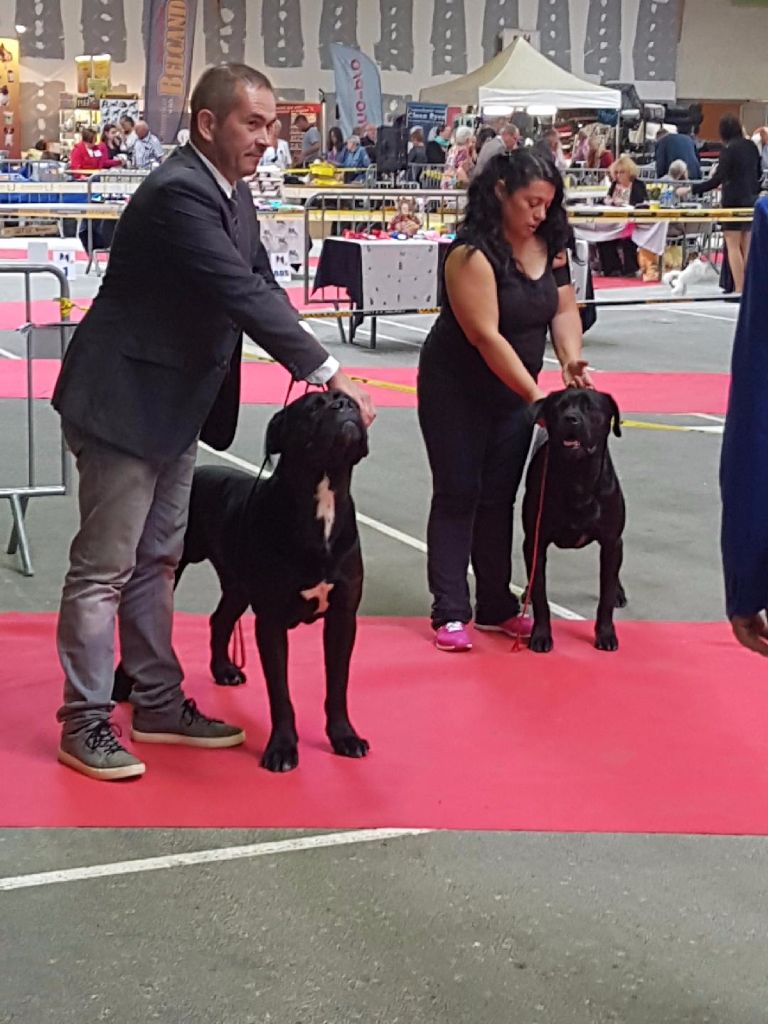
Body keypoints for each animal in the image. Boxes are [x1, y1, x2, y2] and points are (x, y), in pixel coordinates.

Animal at [112, 387, 370, 770]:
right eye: (312, 408)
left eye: (349, 400)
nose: (344, 406)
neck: (323, 499)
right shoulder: (272, 621)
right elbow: (281, 693)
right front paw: (282, 748)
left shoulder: (342, 617)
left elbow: (338, 684)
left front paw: (344, 737)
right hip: (172, 570)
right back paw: (120, 686)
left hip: (238, 585)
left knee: (220, 620)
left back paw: (223, 669)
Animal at [524, 387, 626, 651]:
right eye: (559, 406)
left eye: (590, 407)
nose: (571, 418)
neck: (577, 478)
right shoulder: (535, 540)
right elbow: (540, 593)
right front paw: (541, 635)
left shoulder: (612, 541)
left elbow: (606, 594)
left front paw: (606, 634)